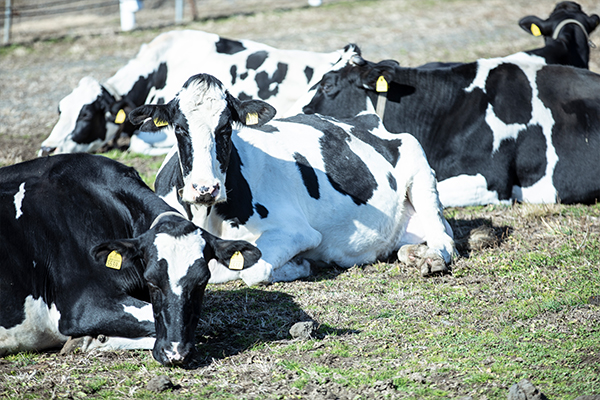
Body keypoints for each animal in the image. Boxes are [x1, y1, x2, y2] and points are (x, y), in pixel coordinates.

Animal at [127, 74, 454, 288]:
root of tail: (367, 119)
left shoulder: (296, 231)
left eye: (226, 128)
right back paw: (413, 253)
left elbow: (249, 270)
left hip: (420, 169)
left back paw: (432, 258)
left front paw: (300, 265)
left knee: (444, 238)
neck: (205, 215)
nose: (205, 188)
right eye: (179, 128)